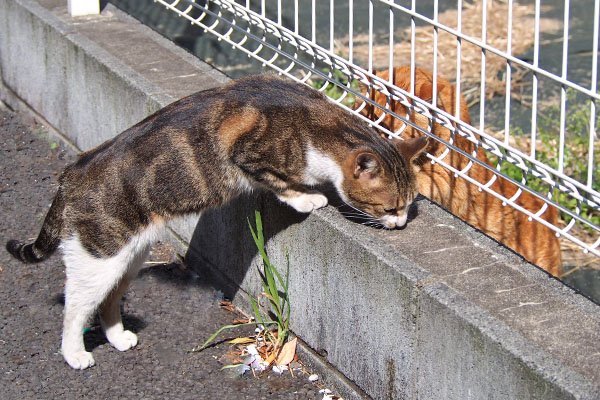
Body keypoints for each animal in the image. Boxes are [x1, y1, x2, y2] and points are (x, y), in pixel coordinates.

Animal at [4, 74, 426, 368]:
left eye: (409, 206)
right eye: (390, 208)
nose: (402, 224)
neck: (315, 124)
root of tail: (70, 176)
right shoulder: (247, 153)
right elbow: (278, 182)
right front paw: (307, 197)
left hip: (129, 256)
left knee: (109, 298)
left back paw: (119, 337)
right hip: (99, 256)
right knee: (76, 305)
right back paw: (74, 353)